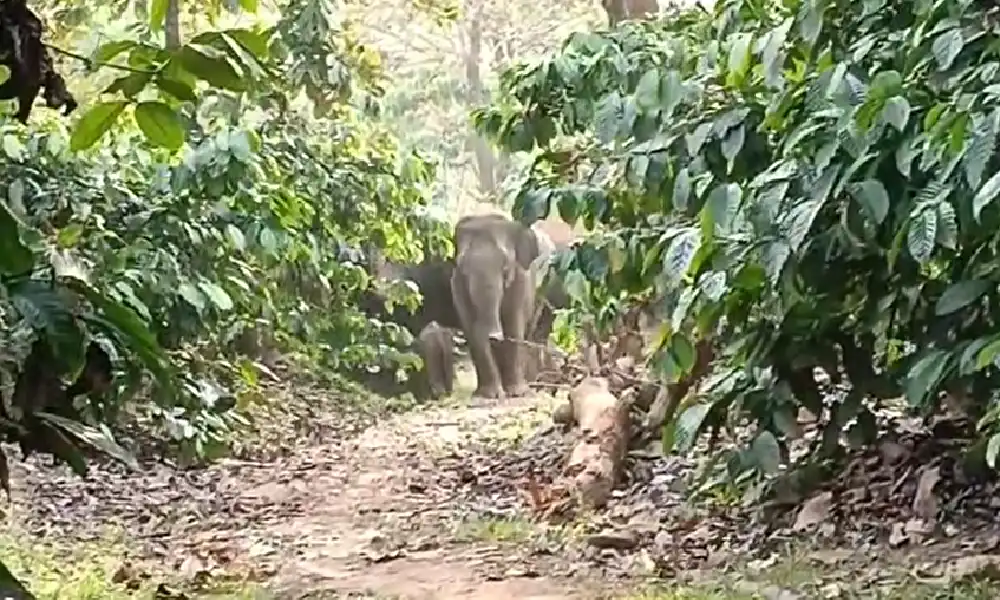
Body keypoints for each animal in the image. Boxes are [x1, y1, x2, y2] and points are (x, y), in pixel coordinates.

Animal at [448, 213, 552, 400]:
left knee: (533, 332)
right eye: (462, 266)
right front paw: (489, 395)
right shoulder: (457, 286)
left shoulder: (520, 280)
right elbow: (472, 331)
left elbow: (514, 327)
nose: (494, 336)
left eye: (505, 266)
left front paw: (517, 393)